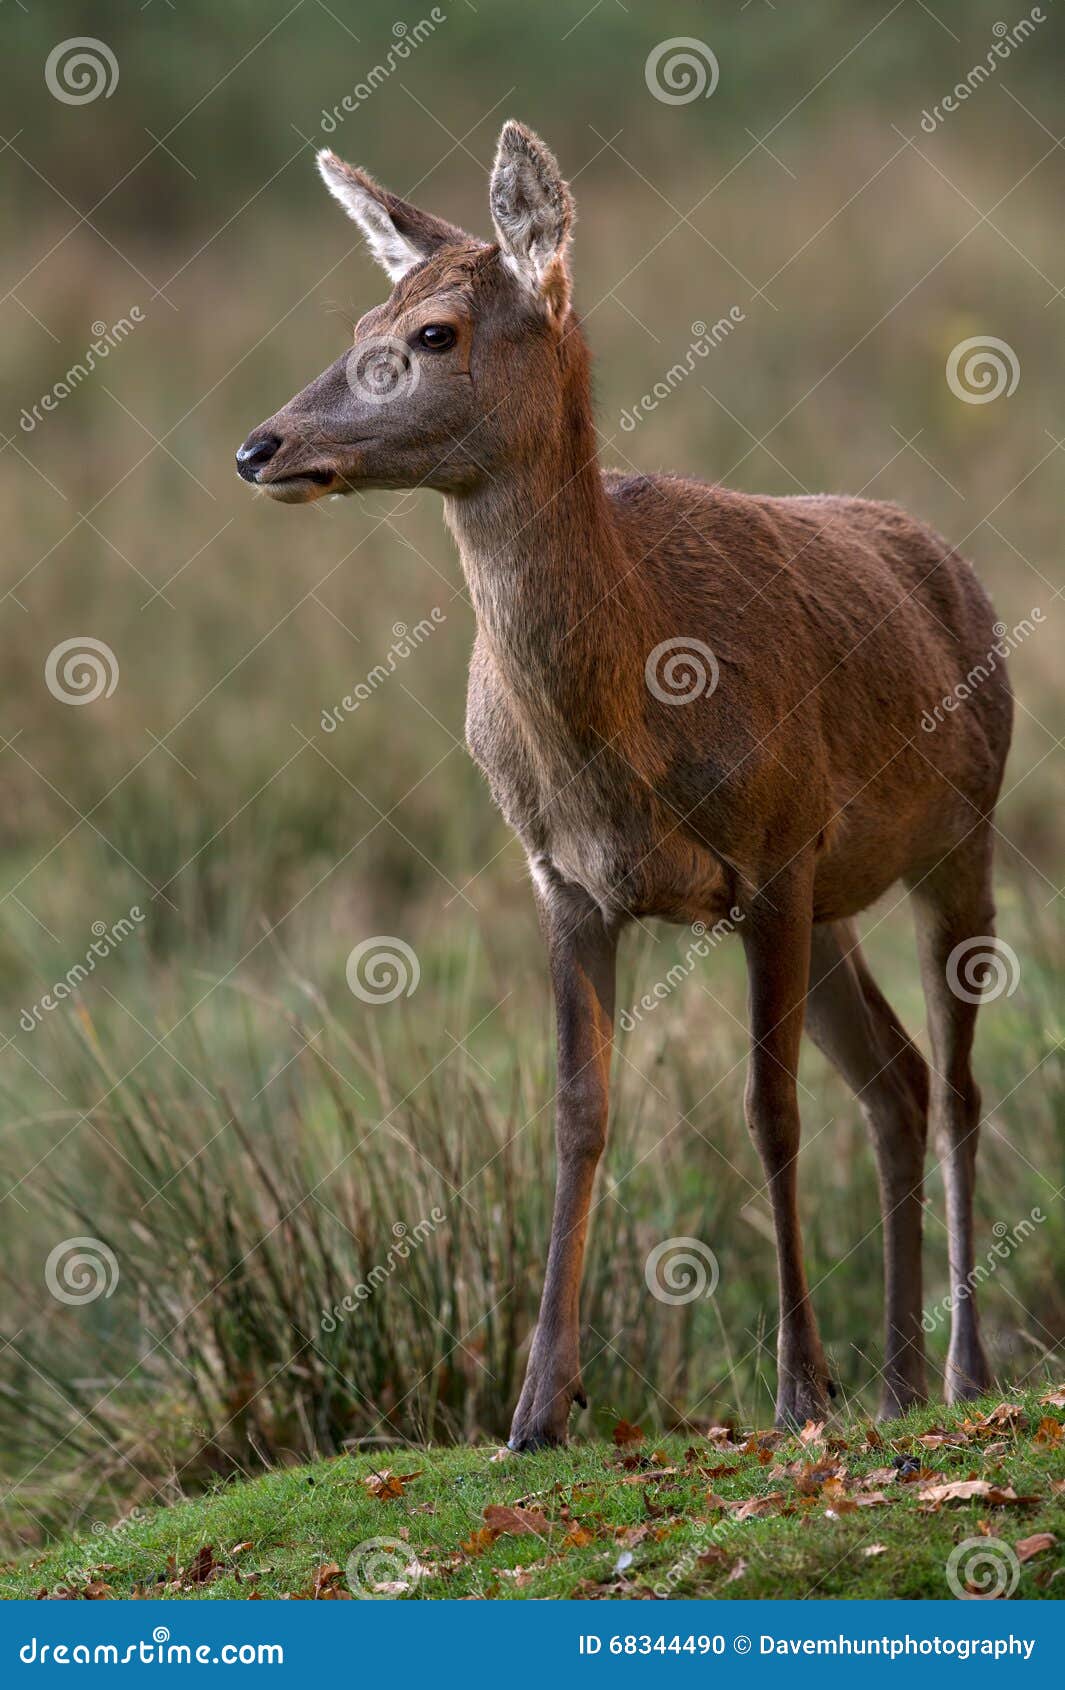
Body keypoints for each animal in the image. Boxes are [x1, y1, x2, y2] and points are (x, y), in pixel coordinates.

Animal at [236, 121, 1013, 1450]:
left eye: (432, 333)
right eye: (359, 317)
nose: (260, 446)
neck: (622, 731)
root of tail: (956, 567)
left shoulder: (776, 849)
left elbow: (767, 1108)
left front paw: (797, 1388)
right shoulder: (566, 879)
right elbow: (577, 1114)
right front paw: (535, 1409)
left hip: (959, 836)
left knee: (959, 1082)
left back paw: (960, 1370)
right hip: (838, 898)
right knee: (899, 1078)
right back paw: (901, 1380)